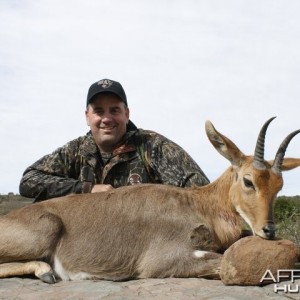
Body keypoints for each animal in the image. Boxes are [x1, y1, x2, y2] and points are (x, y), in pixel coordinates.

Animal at [0, 118, 300, 284]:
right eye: (249, 181)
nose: (268, 230)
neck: (199, 204)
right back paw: (46, 271)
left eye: (279, 185)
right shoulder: (162, 262)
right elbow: (224, 263)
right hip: (45, 229)